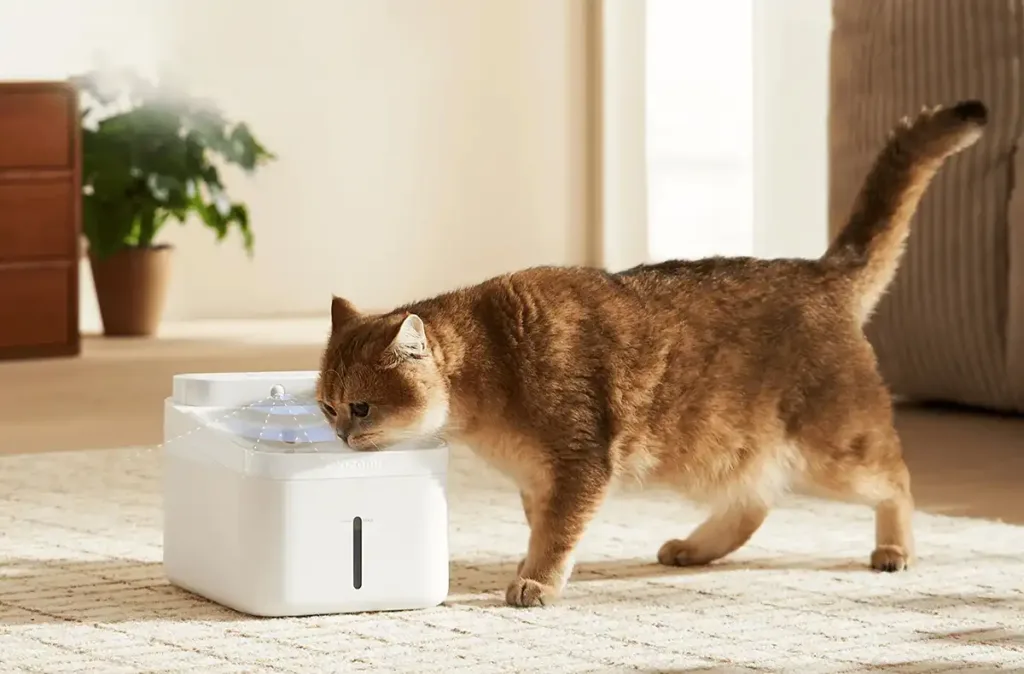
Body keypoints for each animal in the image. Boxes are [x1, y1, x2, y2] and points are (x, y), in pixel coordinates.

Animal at [317, 100, 983, 610]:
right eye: (326, 407)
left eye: (362, 407)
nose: (341, 437)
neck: (495, 359)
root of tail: (822, 271)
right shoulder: (538, 478)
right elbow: (543, 527)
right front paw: (531, 569)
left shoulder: (579, 462)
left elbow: (557, 533)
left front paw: (536, 583)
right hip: (723, 451)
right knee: (756, 501)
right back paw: (693, 548)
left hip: (833, 449)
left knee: (896, 480)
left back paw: (895, 549)